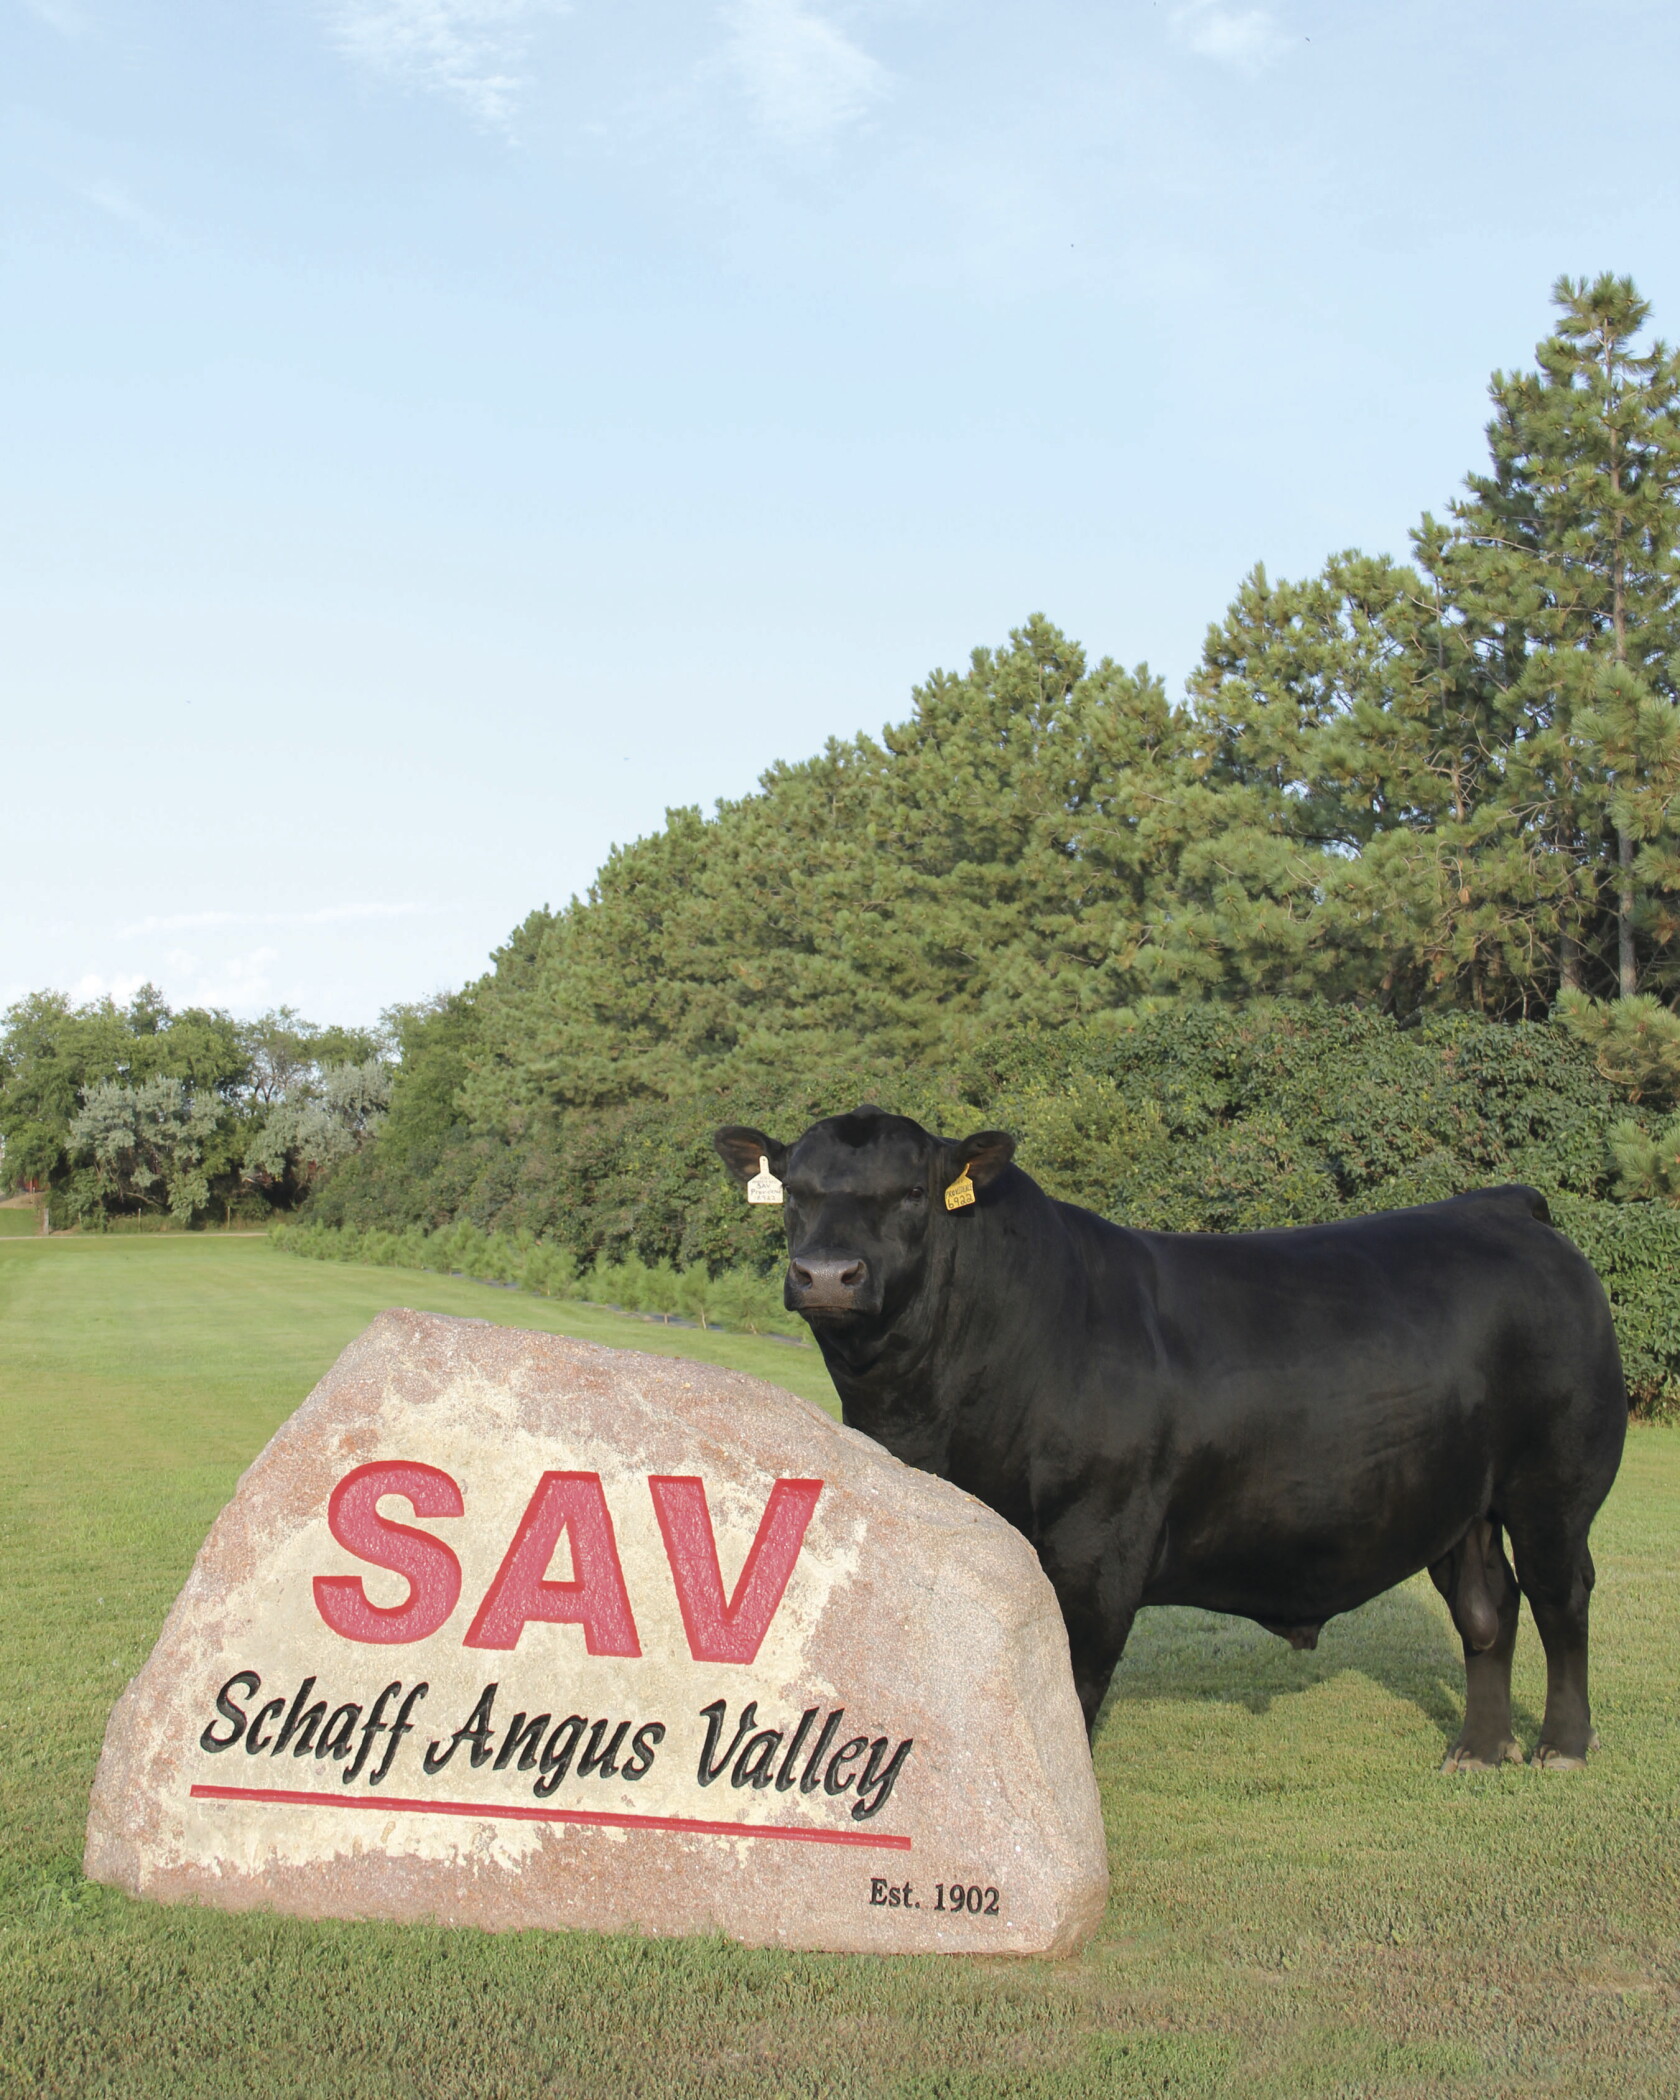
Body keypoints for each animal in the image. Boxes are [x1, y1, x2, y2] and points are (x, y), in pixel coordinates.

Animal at [714, 1105, 1627, 1771]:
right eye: (792, 1189)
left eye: (909, 1192)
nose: (826, 1275)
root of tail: (1502, 1205)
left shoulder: (1096, 1544)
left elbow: (1074, 1675)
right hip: (1459, 1498)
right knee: (1485, 1606)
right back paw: (1480, 1749)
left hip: (1555, 1486)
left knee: (1560, 1595)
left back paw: (1562, 1747)